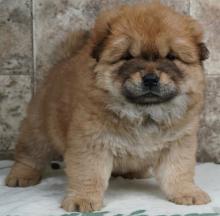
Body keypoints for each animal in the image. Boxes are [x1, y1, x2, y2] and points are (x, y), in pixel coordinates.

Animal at [6, 2, 211, 213]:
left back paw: (135, 172)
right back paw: (21, 176)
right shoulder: (91, 142)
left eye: (171, 57)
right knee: (29, 155)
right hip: (39, 130)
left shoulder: (179, 142)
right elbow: (89, 173)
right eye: (127, 57)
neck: (143, 114)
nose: (150, 78)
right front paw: (82, 199)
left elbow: (178, 171)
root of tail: (61, 63)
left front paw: (188, 193)